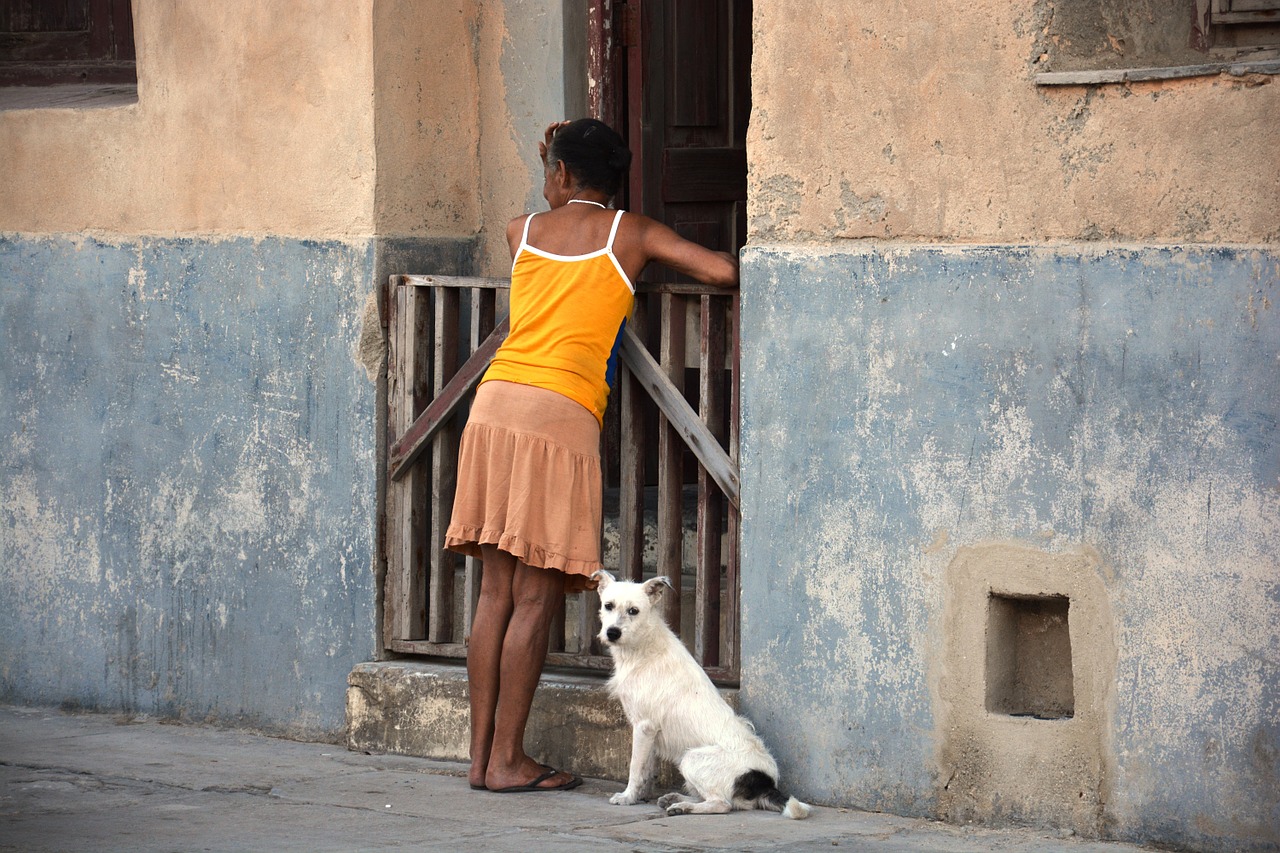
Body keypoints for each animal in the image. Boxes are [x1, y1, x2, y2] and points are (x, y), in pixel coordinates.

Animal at [596, 568, 808, 814]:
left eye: (634, 611)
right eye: (608, 605)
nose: (612, 633)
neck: (643, 646)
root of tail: (765, 782)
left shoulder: (644, 727)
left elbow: (635, 767)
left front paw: (628, 796)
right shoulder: (650, 733)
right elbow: (647, 769)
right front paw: (640, 795)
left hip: (692, 759)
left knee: (721, 804)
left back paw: (683, 807)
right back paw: (676, 799)